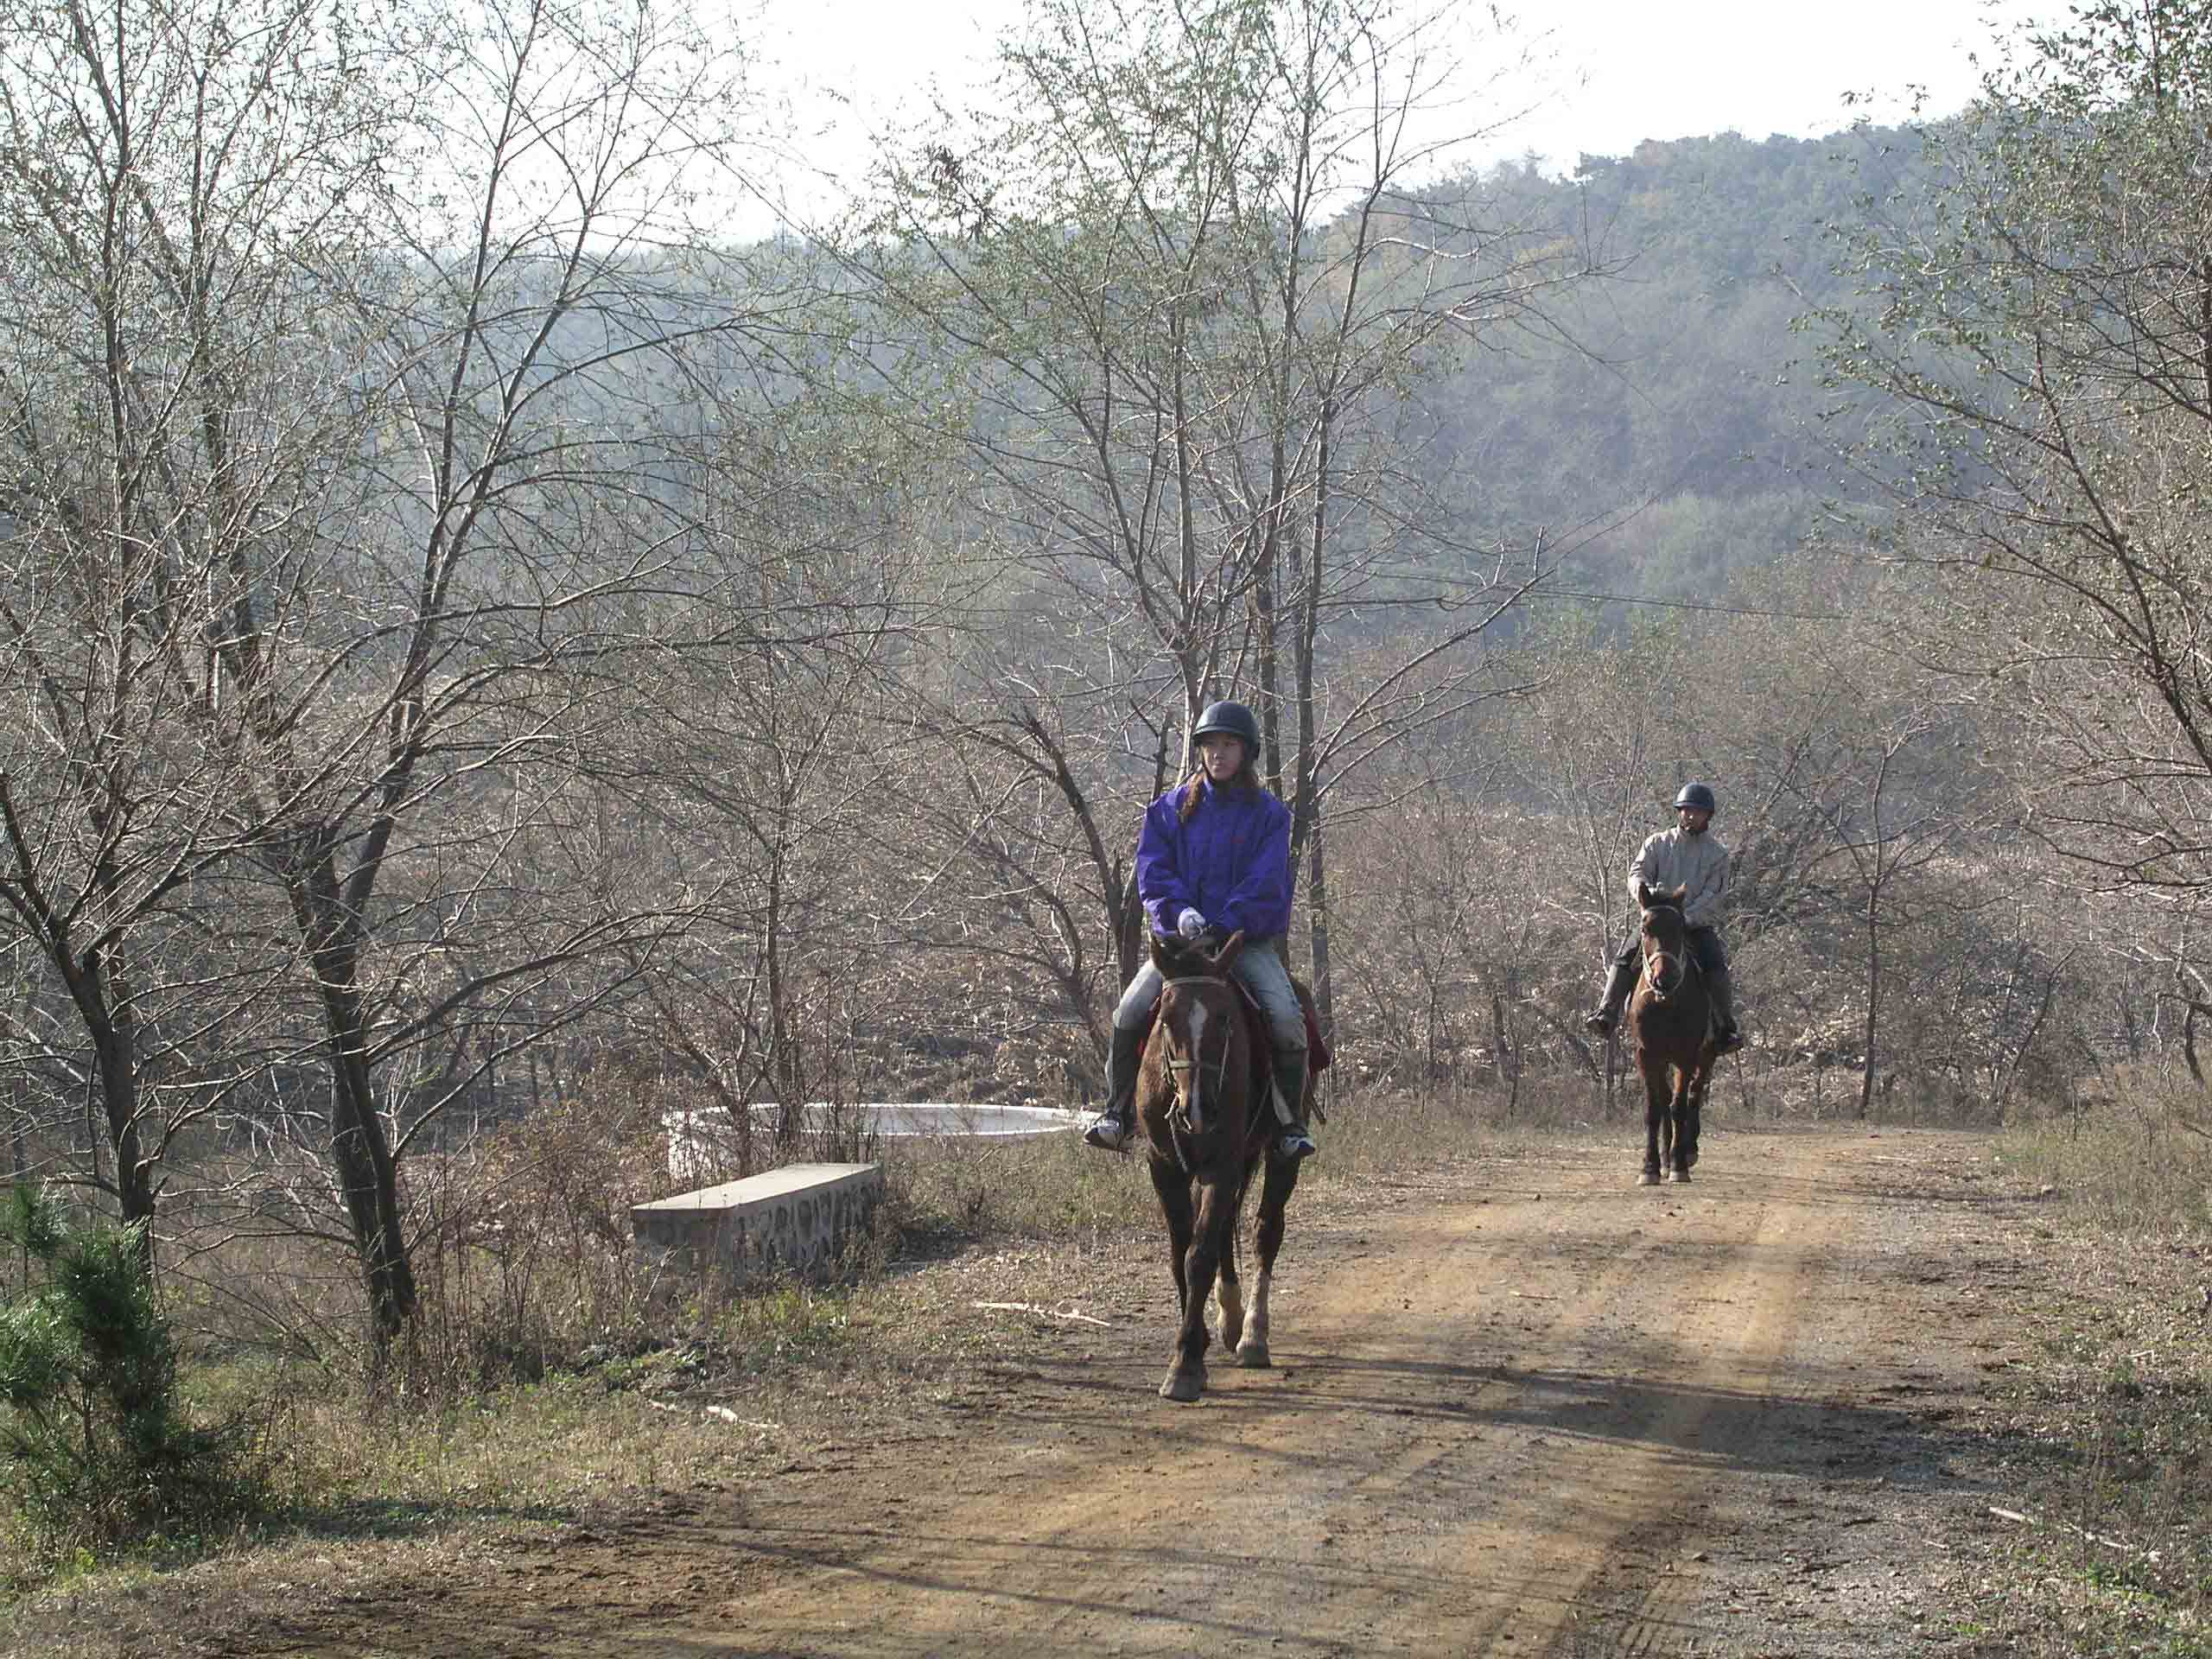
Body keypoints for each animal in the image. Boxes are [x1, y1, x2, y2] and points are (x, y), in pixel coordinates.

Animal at [1132, 938, 1300, 1407]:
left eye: (1224, 1017)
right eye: (1165, 1019)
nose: (1198, 1109)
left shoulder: (1221, 1165)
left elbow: (1199, 1255)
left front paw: (1186, 1363)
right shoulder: (1164, 1167)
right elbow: (1180, 1254)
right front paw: (1199, 1343)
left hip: (1279, 1156)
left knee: (1265, 1232)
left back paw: (1253, 1336)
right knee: (1227, 1227)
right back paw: (1230, 1319)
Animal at [1637, 875, 1716, 1185]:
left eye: (1680, 928)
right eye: (1645, 928)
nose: (1664, 978)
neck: (1666, 1002)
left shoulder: (1686, 1055)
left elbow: (1679, 1106)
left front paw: (1679, 1165)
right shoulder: (1647, 1055)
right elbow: (1653, 1109)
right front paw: (1649, 1168)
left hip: (1706, 1055)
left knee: (1693, 1095)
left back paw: (1685, 1150)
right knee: (1665, 1099)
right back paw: (1665, 1154)